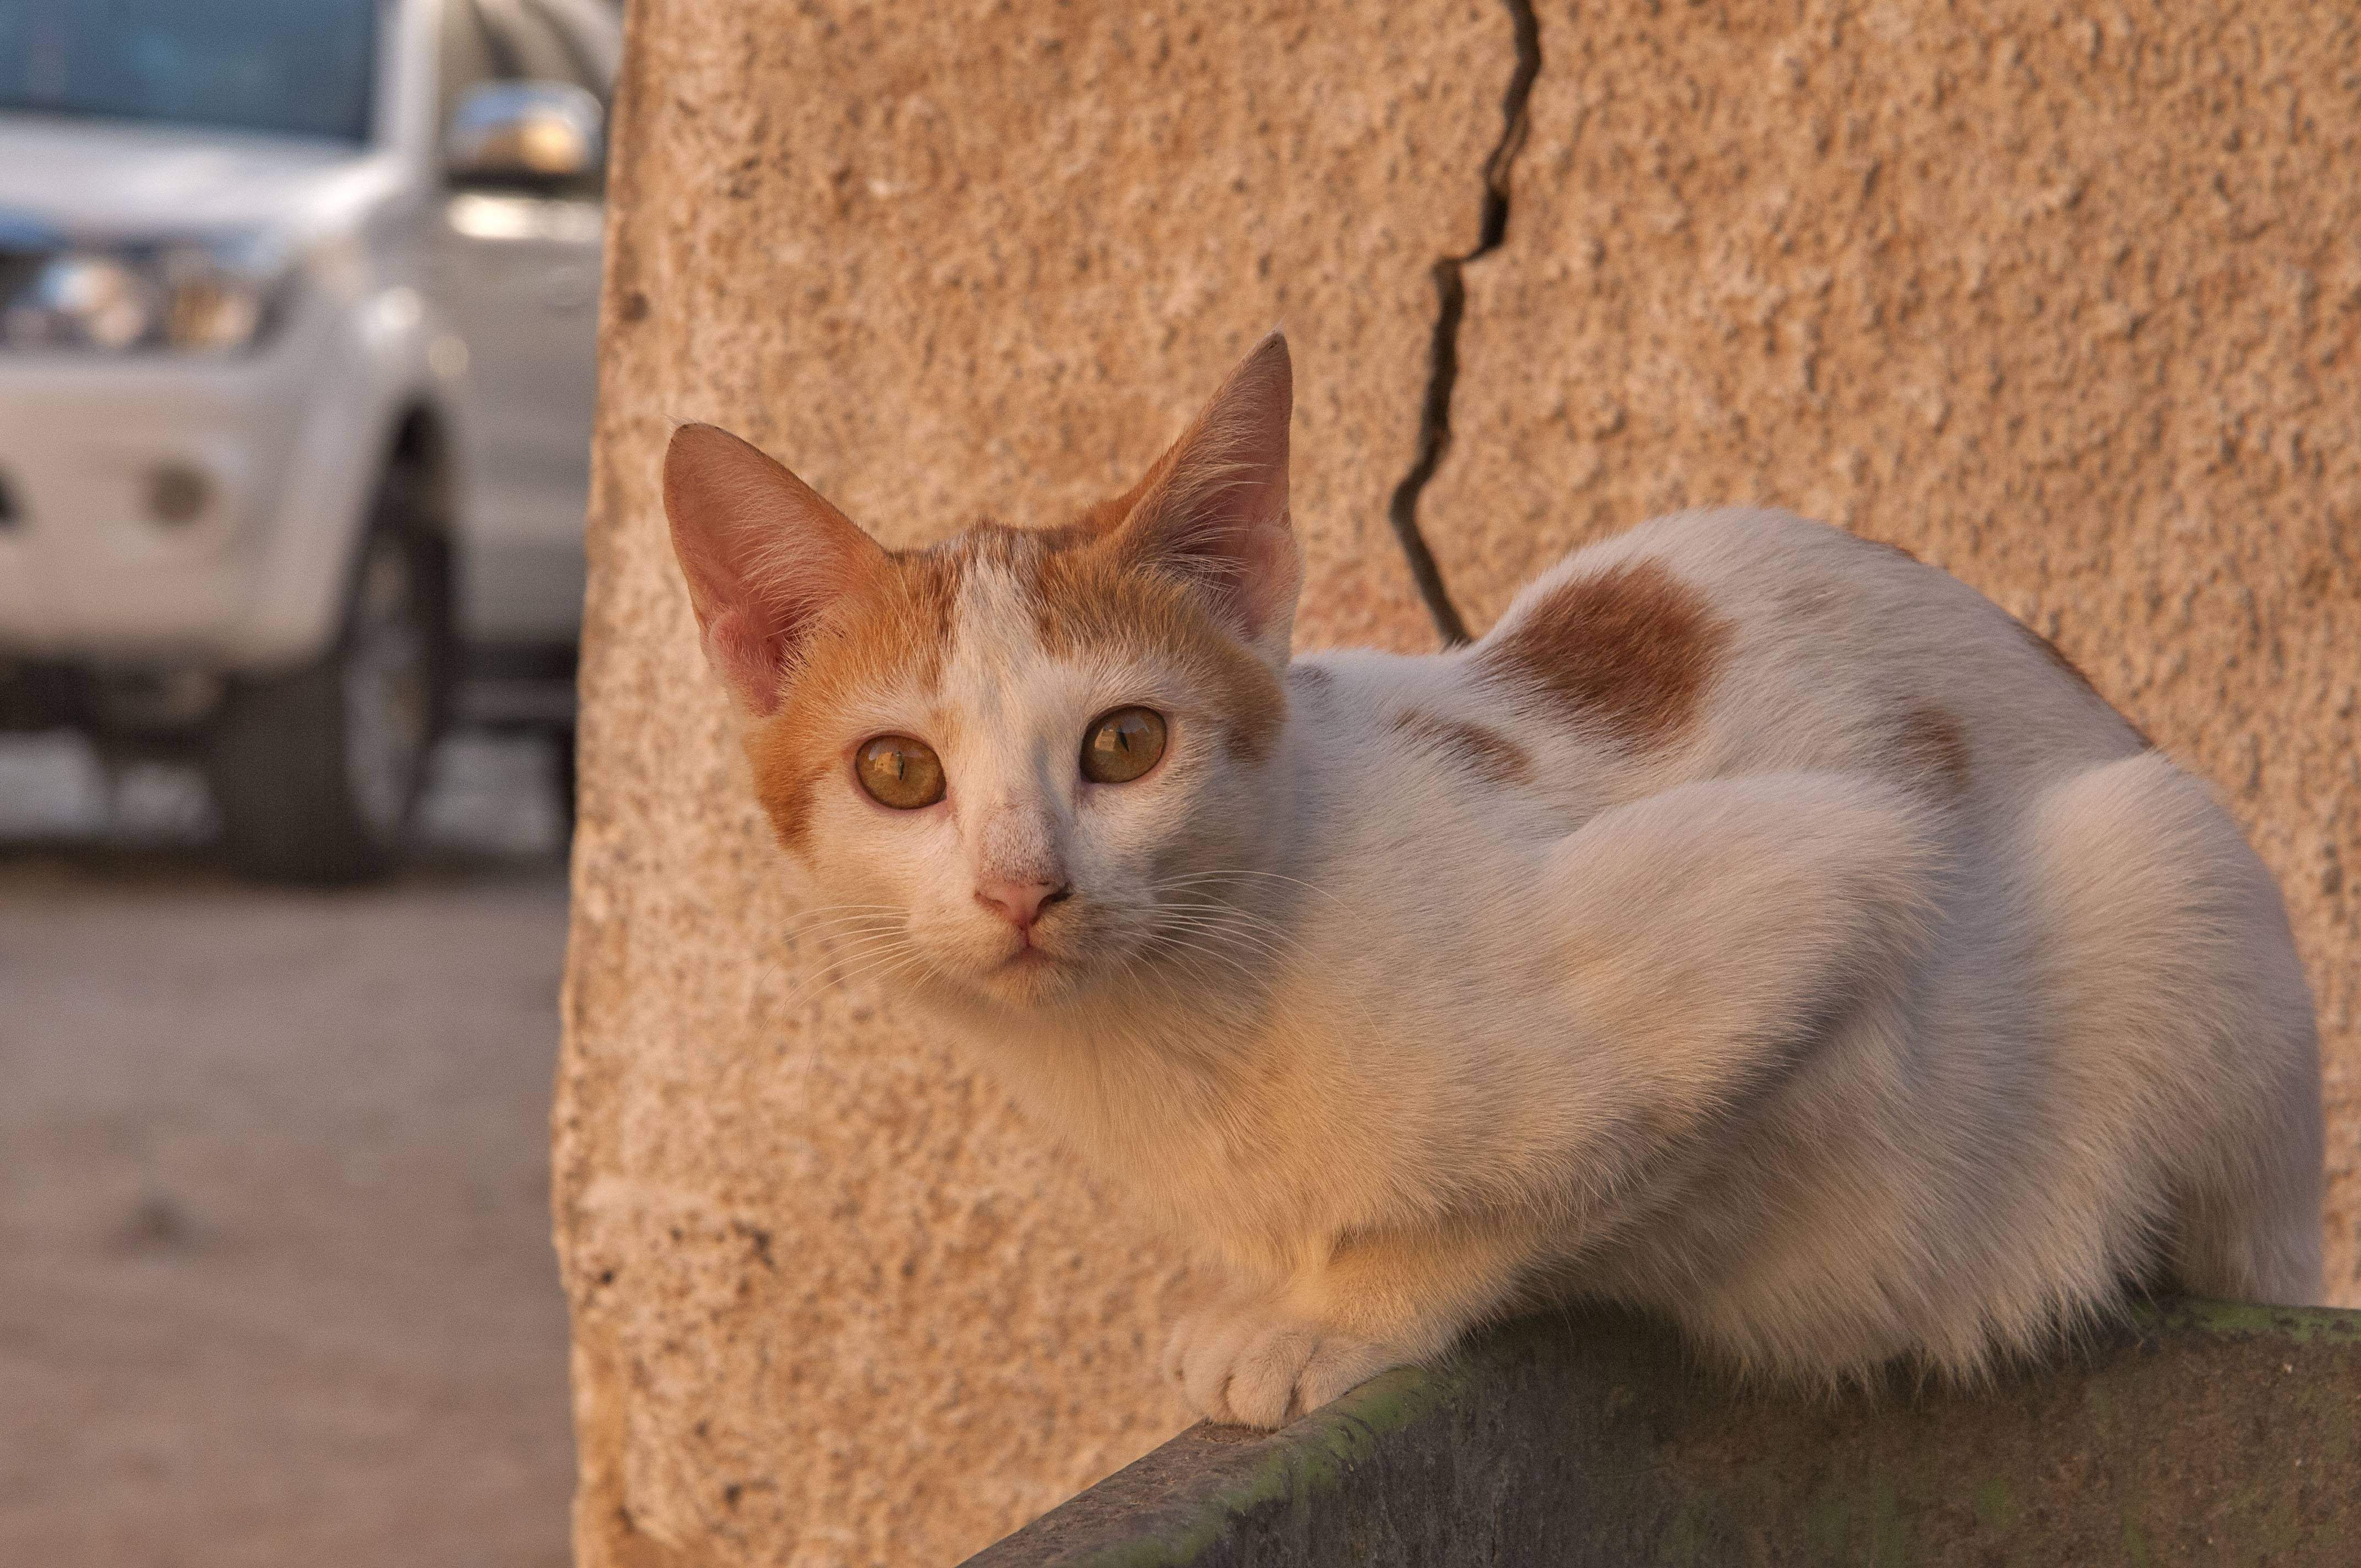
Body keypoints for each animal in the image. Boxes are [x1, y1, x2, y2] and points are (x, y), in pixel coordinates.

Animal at [656, 337, 2314, 1426]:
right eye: (898, 773)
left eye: (1124, 743)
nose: (1022, 887)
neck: (1170, 1040)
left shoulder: (1822, 887)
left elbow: (1536, 1202)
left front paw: (1328, 1320)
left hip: (2166, 865)